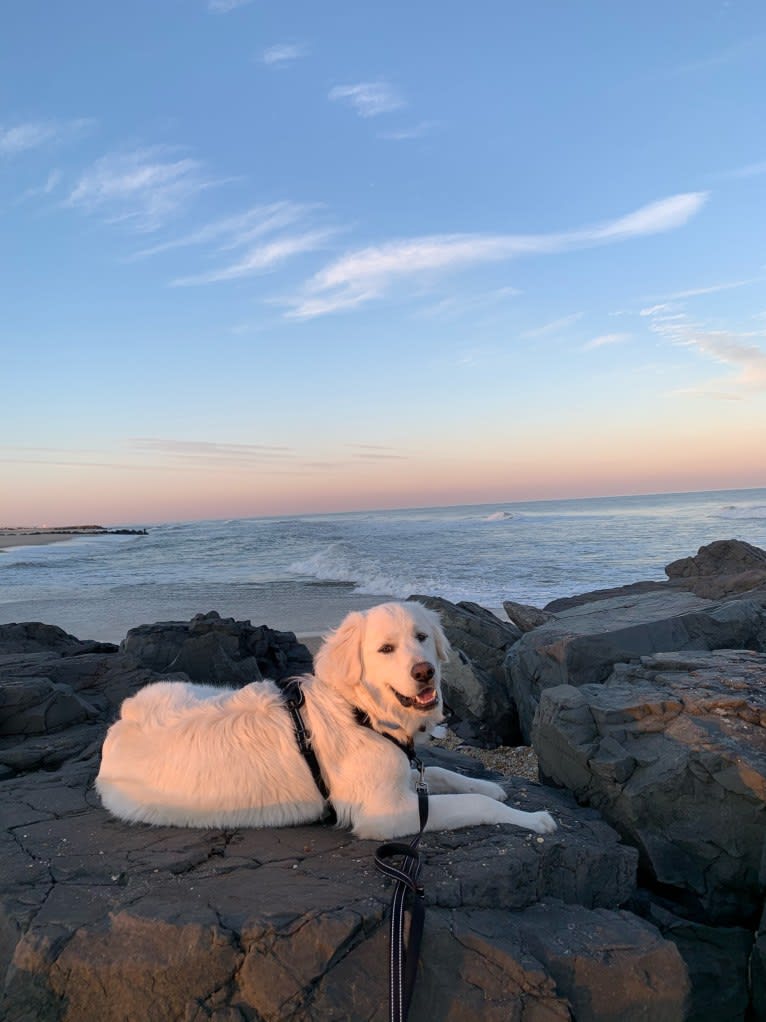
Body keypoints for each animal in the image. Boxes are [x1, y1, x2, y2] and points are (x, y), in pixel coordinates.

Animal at [97, 596, 559, 838]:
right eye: (386, 649)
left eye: (422, 637)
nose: (424, 672)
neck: (362, 713)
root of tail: (117, 729)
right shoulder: (386, 812)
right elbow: (473, 804)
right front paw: (532, 818)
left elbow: (446, 775)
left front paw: (489, 783)